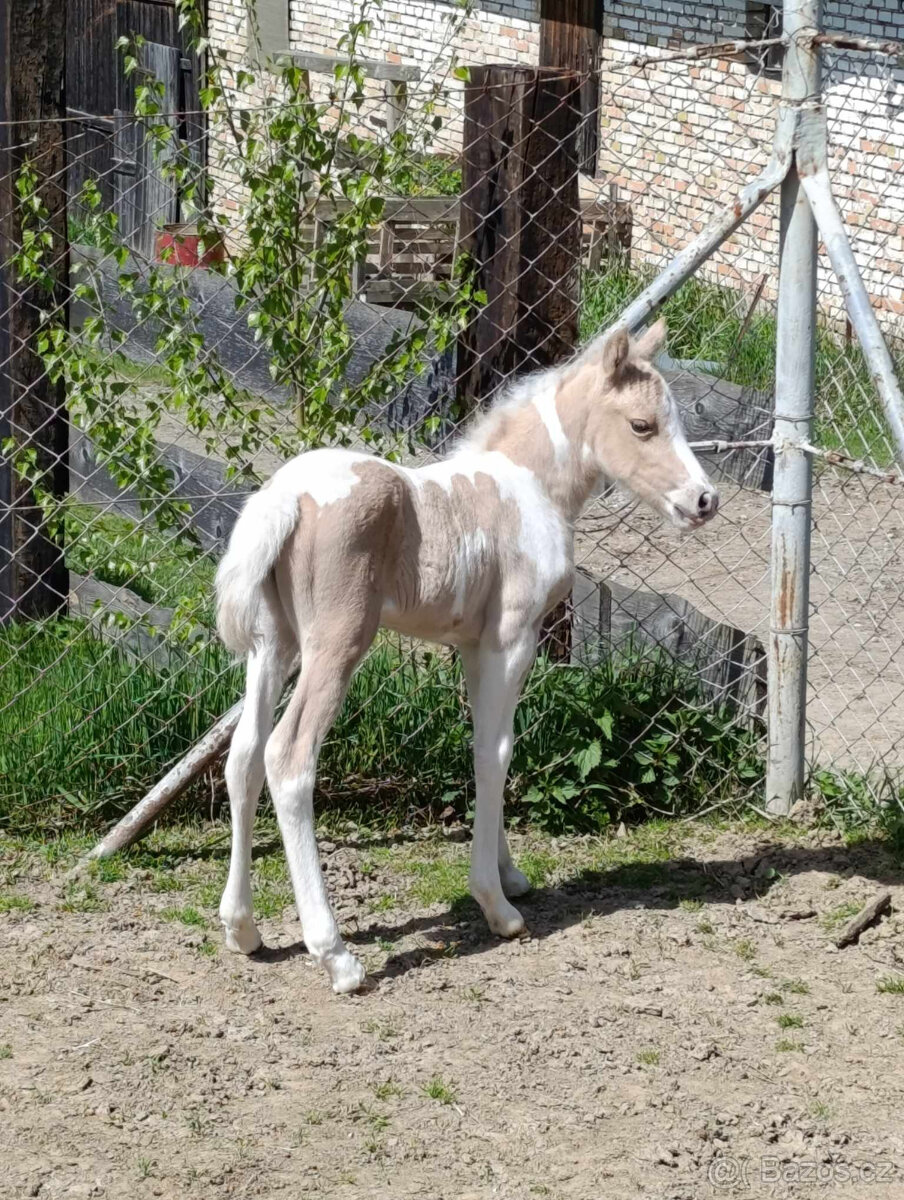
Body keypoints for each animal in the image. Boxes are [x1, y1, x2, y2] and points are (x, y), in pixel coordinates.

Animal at [214, 320, 719, 993]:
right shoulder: (512, 638)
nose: (704, 500)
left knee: (243, 755)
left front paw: (510, 874)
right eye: (642, 425)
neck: (529, 485)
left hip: (275, 643)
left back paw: (242, 928)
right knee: (288, 758)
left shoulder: (473, 647)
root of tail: (286, 496)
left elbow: (485, 743)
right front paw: (496, 905)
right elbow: (495, 752)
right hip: (336, 643)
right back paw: (336, 954)